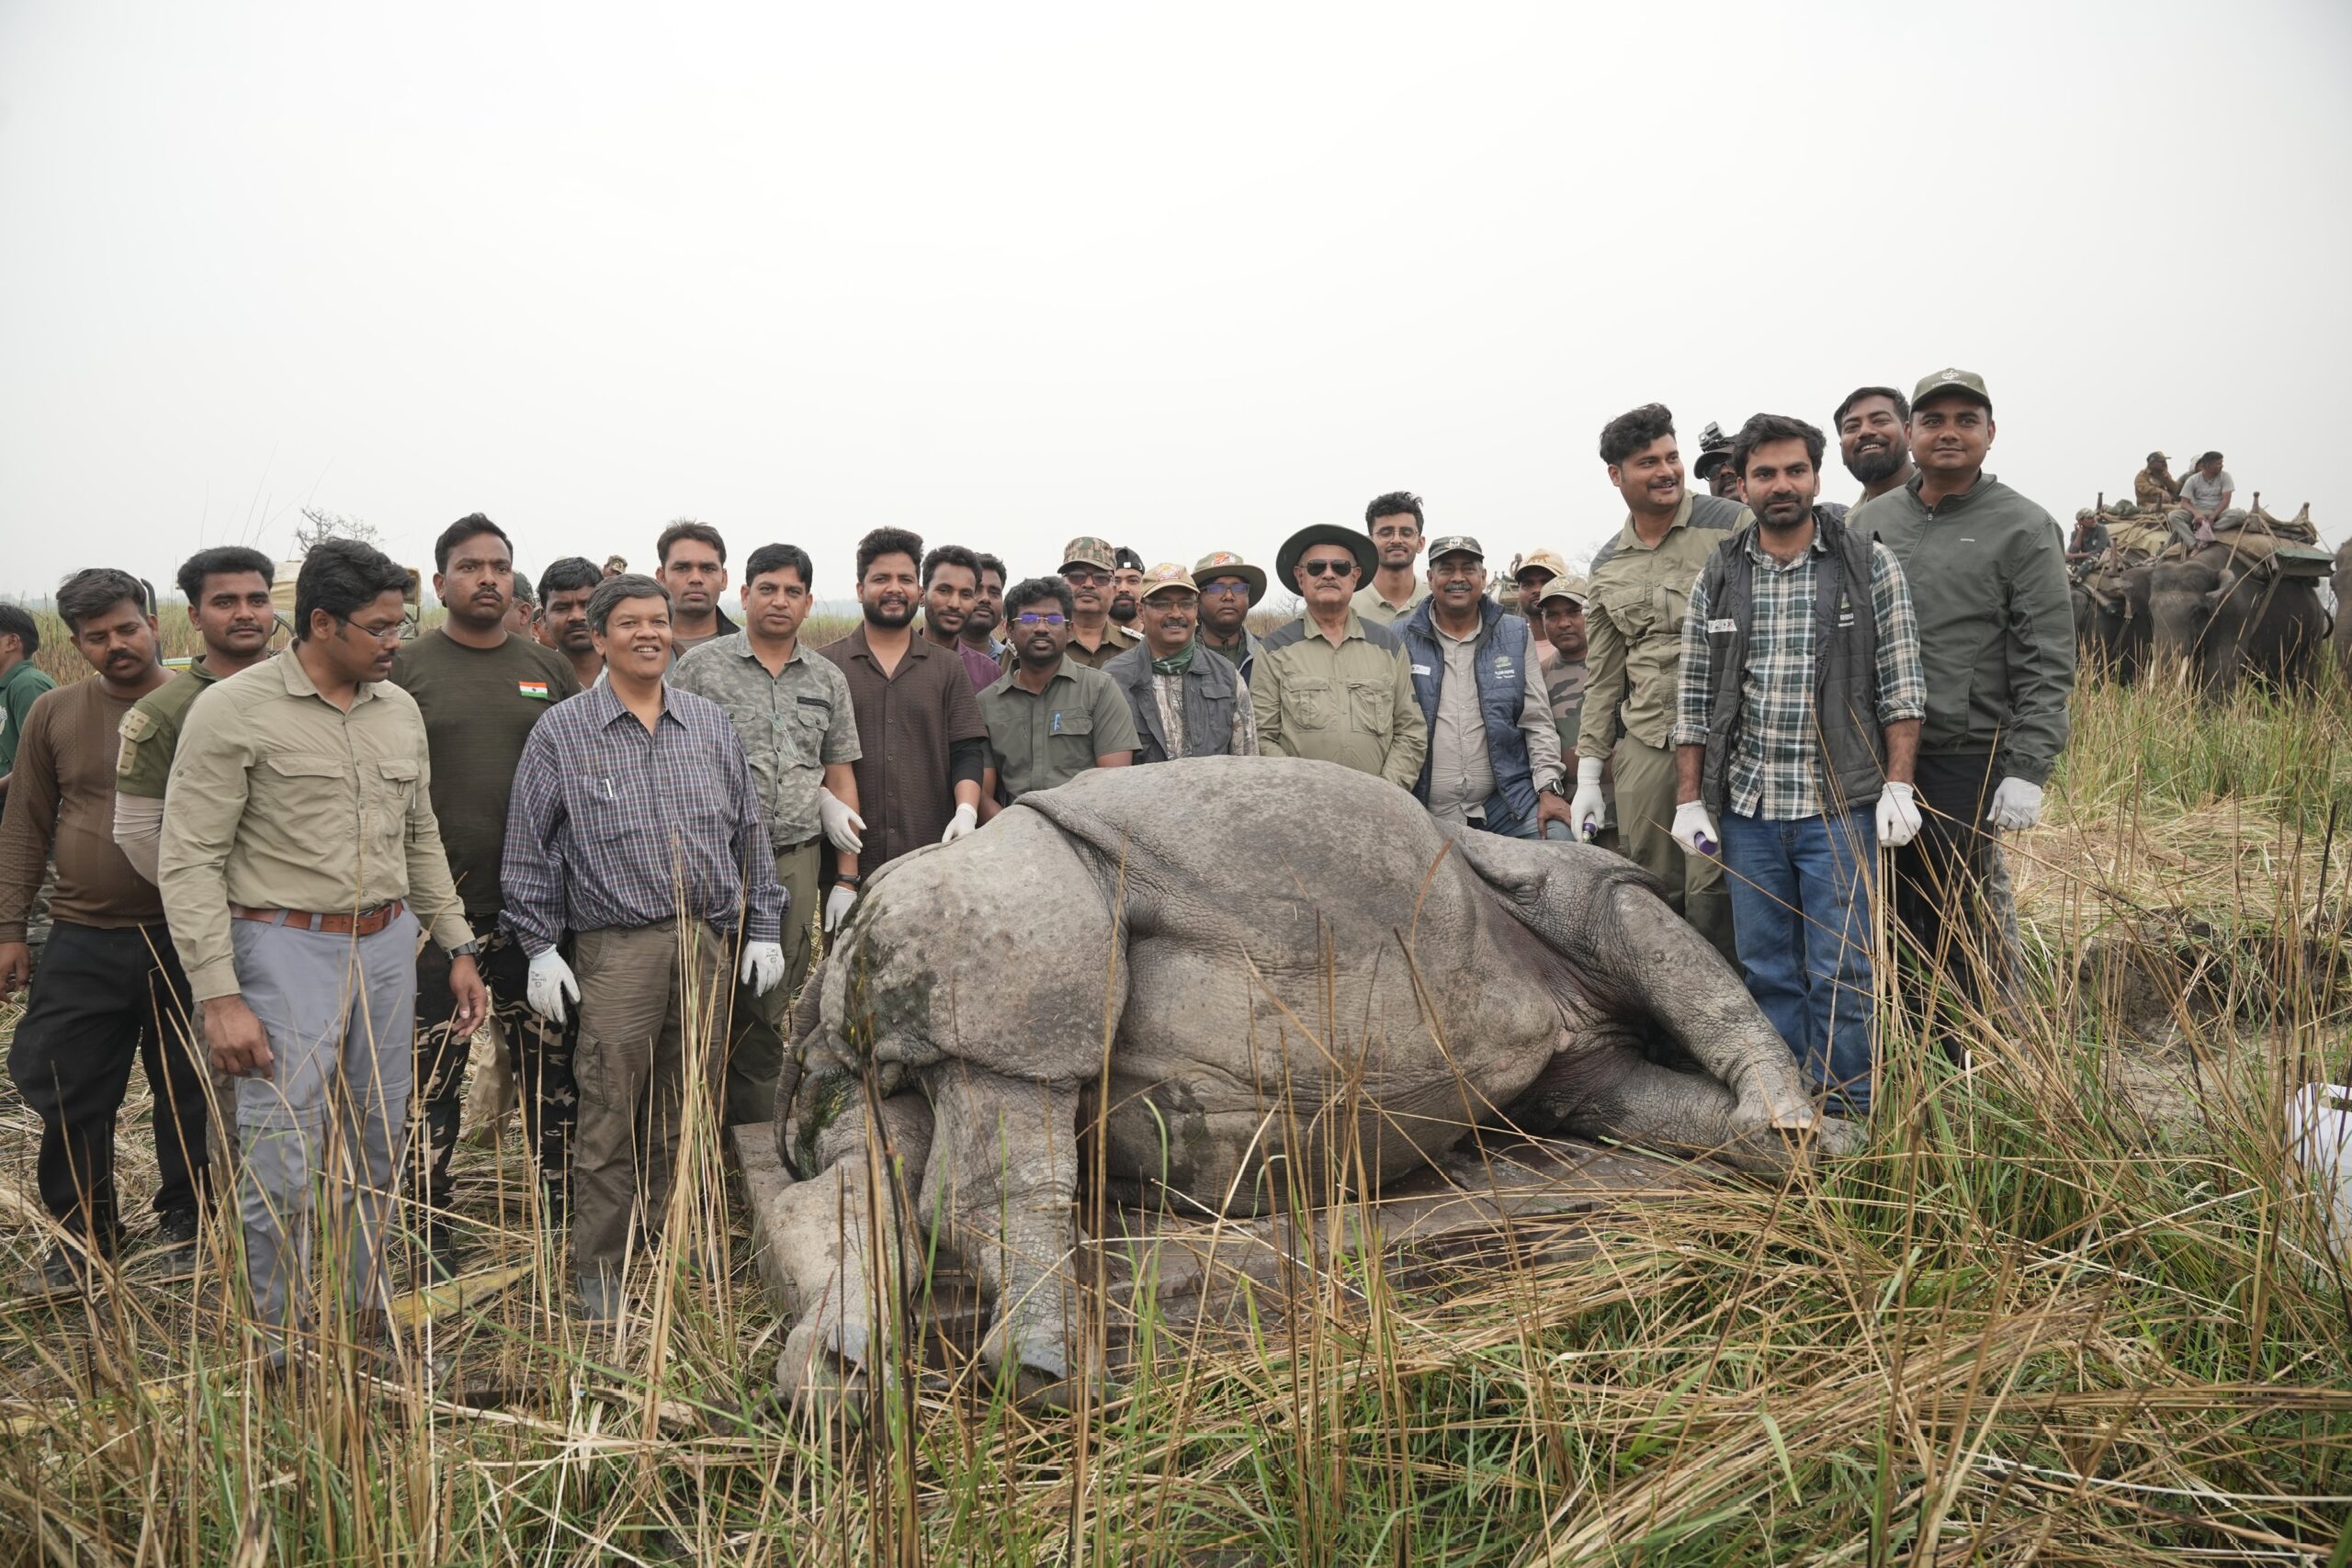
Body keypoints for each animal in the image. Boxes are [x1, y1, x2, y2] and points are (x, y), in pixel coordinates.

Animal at [767, 756, 1849, 1408]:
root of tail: (842, 940)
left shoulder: (1574, 1028)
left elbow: (1632, 1069)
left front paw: (1803, 1143)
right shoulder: (1573, 889)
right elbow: (1653, 941)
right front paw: (1793, 1128)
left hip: (932, 953)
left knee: (876, 1146)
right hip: (1014, 905)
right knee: (1016, 1067)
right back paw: (1047, 1373)